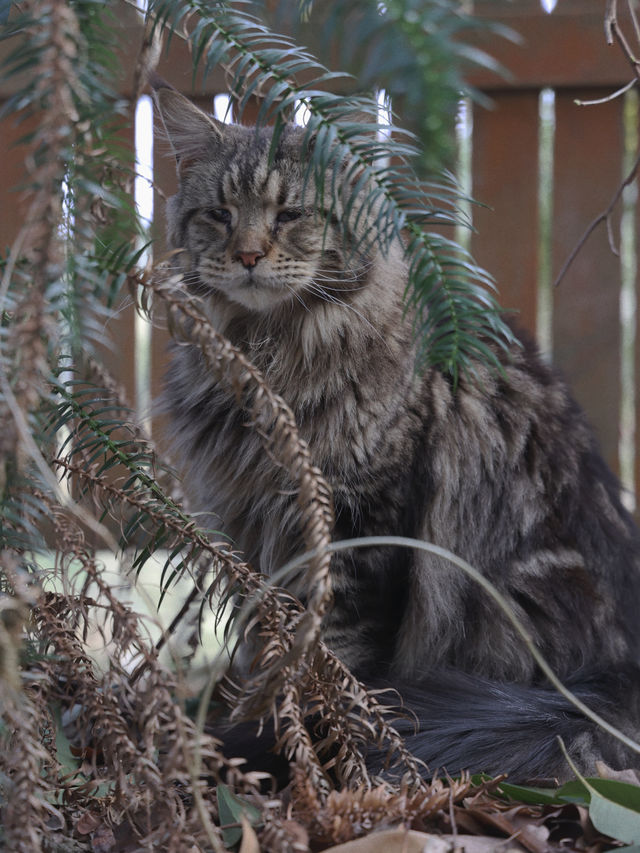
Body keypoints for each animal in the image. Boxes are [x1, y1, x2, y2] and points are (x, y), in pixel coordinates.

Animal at [154, 80, 640, 780]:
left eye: (290, 214)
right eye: (219, 214)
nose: (246, 256)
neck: (268, 360)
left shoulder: (363, 522)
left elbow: (341, 665)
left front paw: (326, 756)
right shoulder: (255, 533)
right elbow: (271, 652)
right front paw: (284, 737)